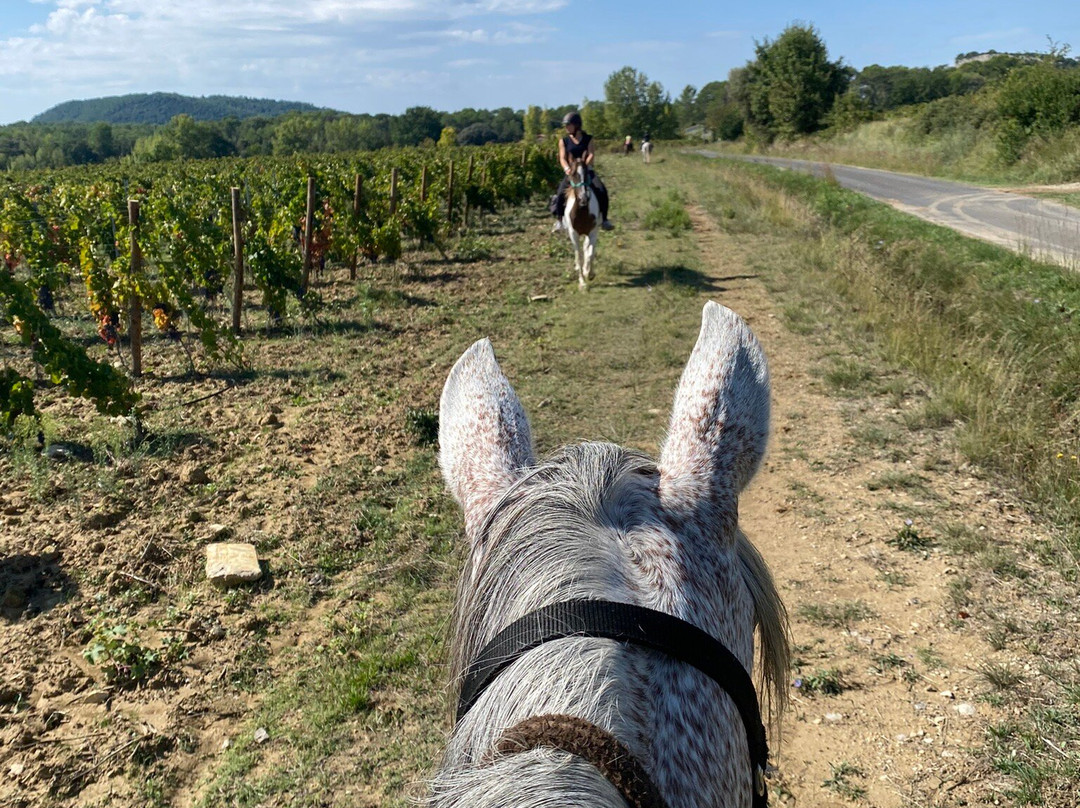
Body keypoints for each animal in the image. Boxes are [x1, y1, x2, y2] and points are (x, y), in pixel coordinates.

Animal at [562, 158, 600, 290]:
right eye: (573, 174)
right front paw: (582, 281)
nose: (583, 199)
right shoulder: (574, 234)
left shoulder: (593, 232)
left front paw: (589, 273)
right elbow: (578, 255)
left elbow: (591, 253)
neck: (582, 212)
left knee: (586, 248)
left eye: (587, 173)